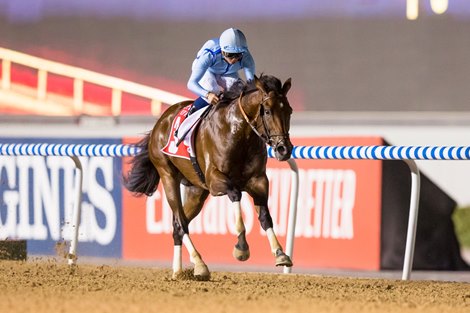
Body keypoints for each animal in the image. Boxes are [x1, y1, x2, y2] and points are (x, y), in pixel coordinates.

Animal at [125, 74, 294, 280]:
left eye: (290, 111)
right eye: (268, 111)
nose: (284, 149)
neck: (239, 133)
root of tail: (160, 122)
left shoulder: (259, 181)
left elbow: (265, 217)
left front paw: (280, 253)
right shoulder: (215, 180)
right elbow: (235, 193)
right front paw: (241, 247)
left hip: (196, 190)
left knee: (177, 225)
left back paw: (178, 271)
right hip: (167, 175)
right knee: (180, 223)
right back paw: (200, 264)